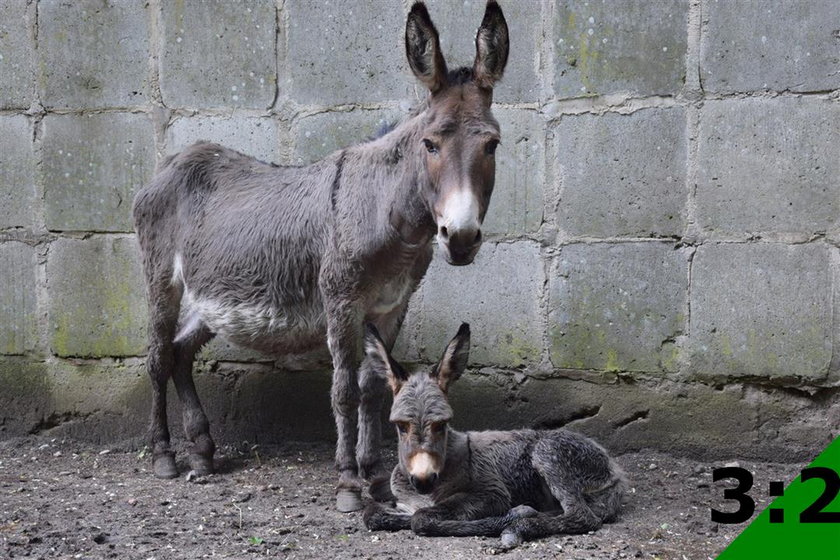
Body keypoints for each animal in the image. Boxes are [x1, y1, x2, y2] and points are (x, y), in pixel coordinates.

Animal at [364, 324, 628, 548]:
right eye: (400, 426)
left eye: (442, 424)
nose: (423, 479)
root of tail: (615, 470)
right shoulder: (405, 502)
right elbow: (373, 515)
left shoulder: (492, 493)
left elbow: (421, 519)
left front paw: (514, 516)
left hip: (550, 452)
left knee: (582, 516)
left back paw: (519, 527)